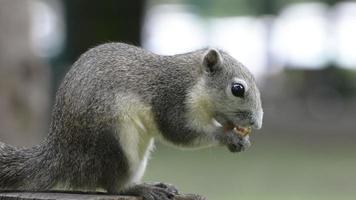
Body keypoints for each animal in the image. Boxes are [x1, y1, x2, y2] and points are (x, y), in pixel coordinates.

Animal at [0, 42, 262, 200]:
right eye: (237, 89)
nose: (257, 123)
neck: (192, 81)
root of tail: (63, 154)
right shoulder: (172, 101)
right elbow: (181, 132)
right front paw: (226, 135)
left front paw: (241, 139)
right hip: (117, 140)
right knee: (113, 185)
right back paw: (142, 188)